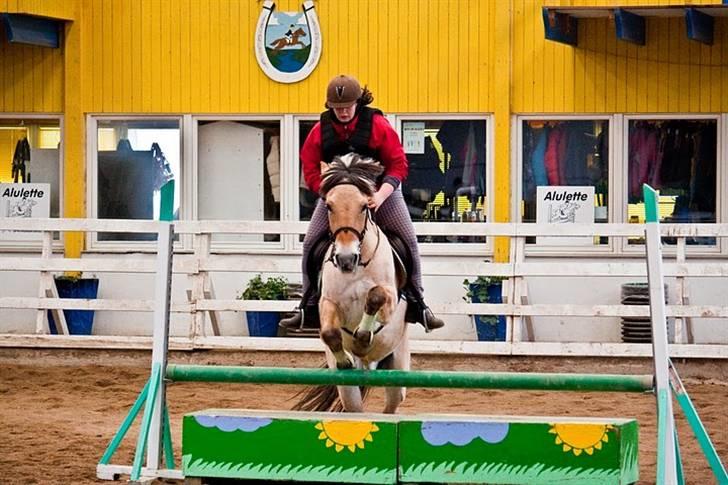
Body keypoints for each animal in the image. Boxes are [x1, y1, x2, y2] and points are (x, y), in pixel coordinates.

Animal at [294, 154, 410, 412]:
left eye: (365, 206)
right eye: (329, 206)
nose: (346, 259)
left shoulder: (389, 301)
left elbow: (376, 295)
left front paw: (363, 336)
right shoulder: (328, 302)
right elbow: (329, 332)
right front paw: (346, 358)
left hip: (397, 365)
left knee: (392, 404)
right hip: (349, 391)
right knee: (354, 406)